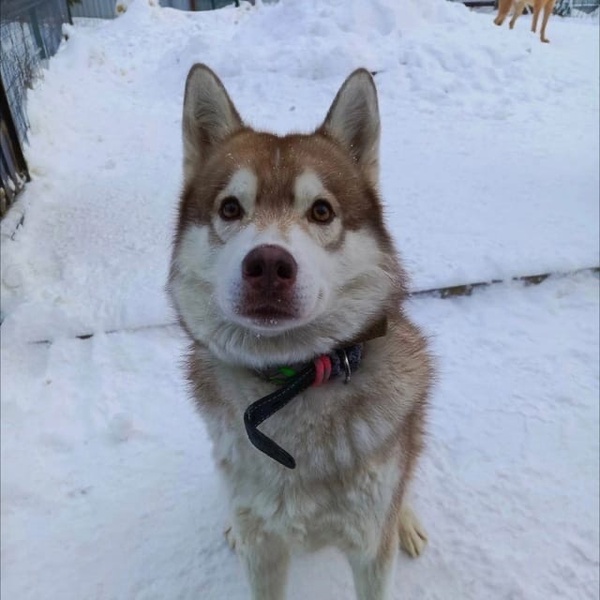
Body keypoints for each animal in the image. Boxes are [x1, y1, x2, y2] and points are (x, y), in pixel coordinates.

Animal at [166, 65, 434, 600]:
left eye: (321, 211)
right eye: (230, 208)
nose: (269, 264)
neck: (290, 381)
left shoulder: (370, 548)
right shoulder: (263, 548)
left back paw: (407, 520)